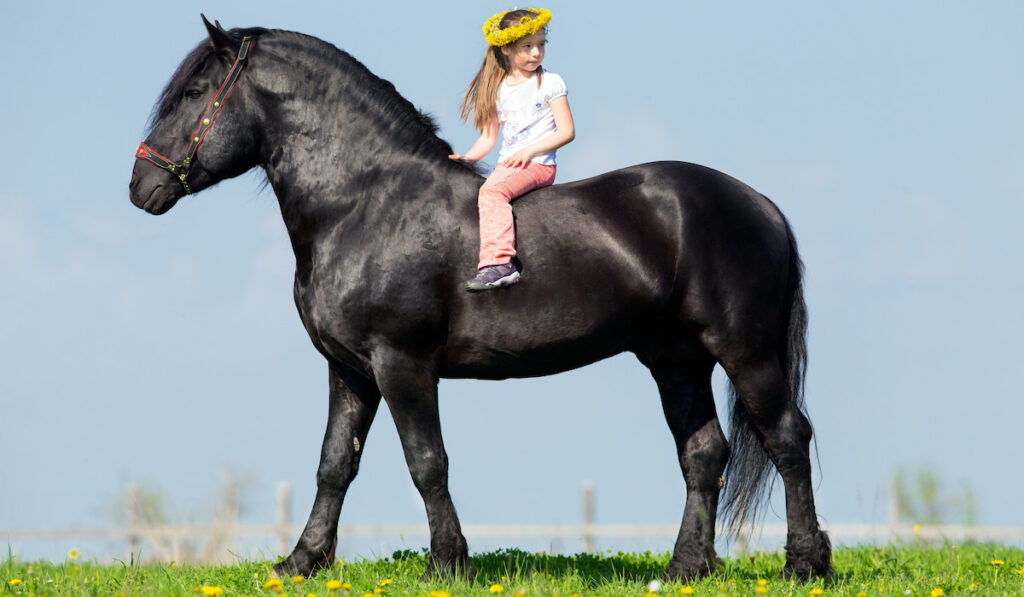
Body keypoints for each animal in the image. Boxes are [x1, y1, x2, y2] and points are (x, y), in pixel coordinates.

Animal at [130, 19, 831, 585]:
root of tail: (759, 205)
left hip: (745, 353)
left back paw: (804, 565)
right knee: (704, 453)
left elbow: (426, 462)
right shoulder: (350, 369)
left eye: (194, 92)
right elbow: (334, 464)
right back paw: (686, 568)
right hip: (677, 360)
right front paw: (301, 561)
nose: (141, 184)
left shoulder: (401, 364)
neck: (365, 202)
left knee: (786, 437)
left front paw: (448, 563)